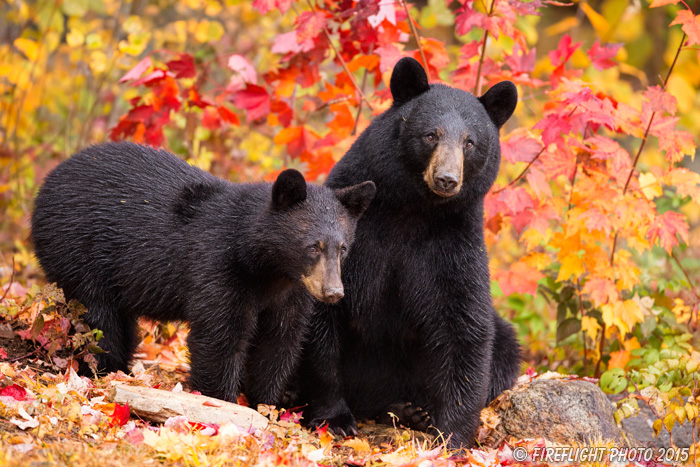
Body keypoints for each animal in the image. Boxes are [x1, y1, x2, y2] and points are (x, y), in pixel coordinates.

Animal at [31, 142, 378, 406]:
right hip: (77, 250)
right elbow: (219, 337)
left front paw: (265, 405)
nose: (333, 292)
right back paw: (103, 369)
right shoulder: (217, 266)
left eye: (343, 248)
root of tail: (48, 182)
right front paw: (222, 403)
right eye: (313, 247)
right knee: (99, 317)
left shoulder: (291, 291)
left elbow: (279, 340)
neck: (265, 268)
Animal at [298, 58, 524, 450]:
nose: (447, 178)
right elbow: (322, 316)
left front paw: (452, 435)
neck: (413, 209)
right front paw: (335, 418)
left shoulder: (453, 245)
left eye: (470, 142)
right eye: (431, 135)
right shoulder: (350, 232)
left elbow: (463, 323)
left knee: (504, 350)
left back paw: (411, 411)